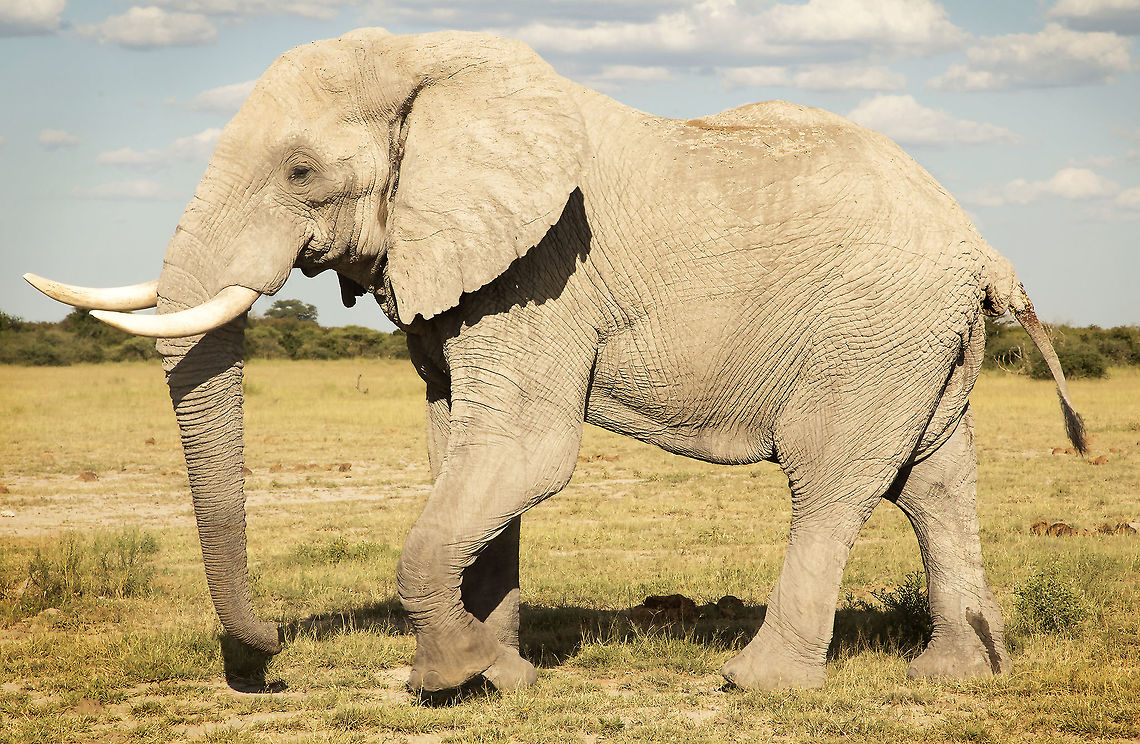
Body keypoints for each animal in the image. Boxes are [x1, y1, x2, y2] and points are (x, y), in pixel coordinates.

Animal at [25, 28, 1086, 694]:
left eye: (300, 172)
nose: (272, 649)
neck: (432, 62)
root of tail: (984, 247)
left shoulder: (543, 269)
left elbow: (523, 453)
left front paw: (444, 678)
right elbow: (458, 452)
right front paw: (500, 678)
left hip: (872, 331)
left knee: (833, 480)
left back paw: (757, 686)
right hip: (919, 343)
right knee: (934, 483)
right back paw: (956, 676)